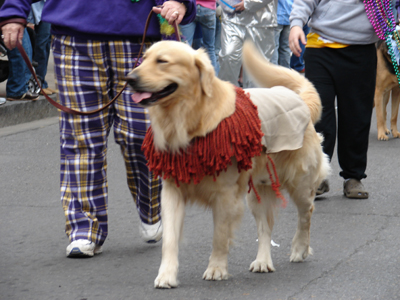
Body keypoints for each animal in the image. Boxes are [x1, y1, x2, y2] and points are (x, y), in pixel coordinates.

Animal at [126, 40, 330, 288]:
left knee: (306, 214)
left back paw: (300, 249)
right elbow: (170, 239)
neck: (189, 118)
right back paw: (263, 261)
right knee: (265, 227)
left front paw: (216, 269)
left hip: (299, 183)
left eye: (162, 61)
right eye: (143, 58)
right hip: (257, 191)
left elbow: (220, 237)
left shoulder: (224, 194)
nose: (129, 79)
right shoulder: (172, 190)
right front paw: (166, 275)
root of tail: (300, 100)